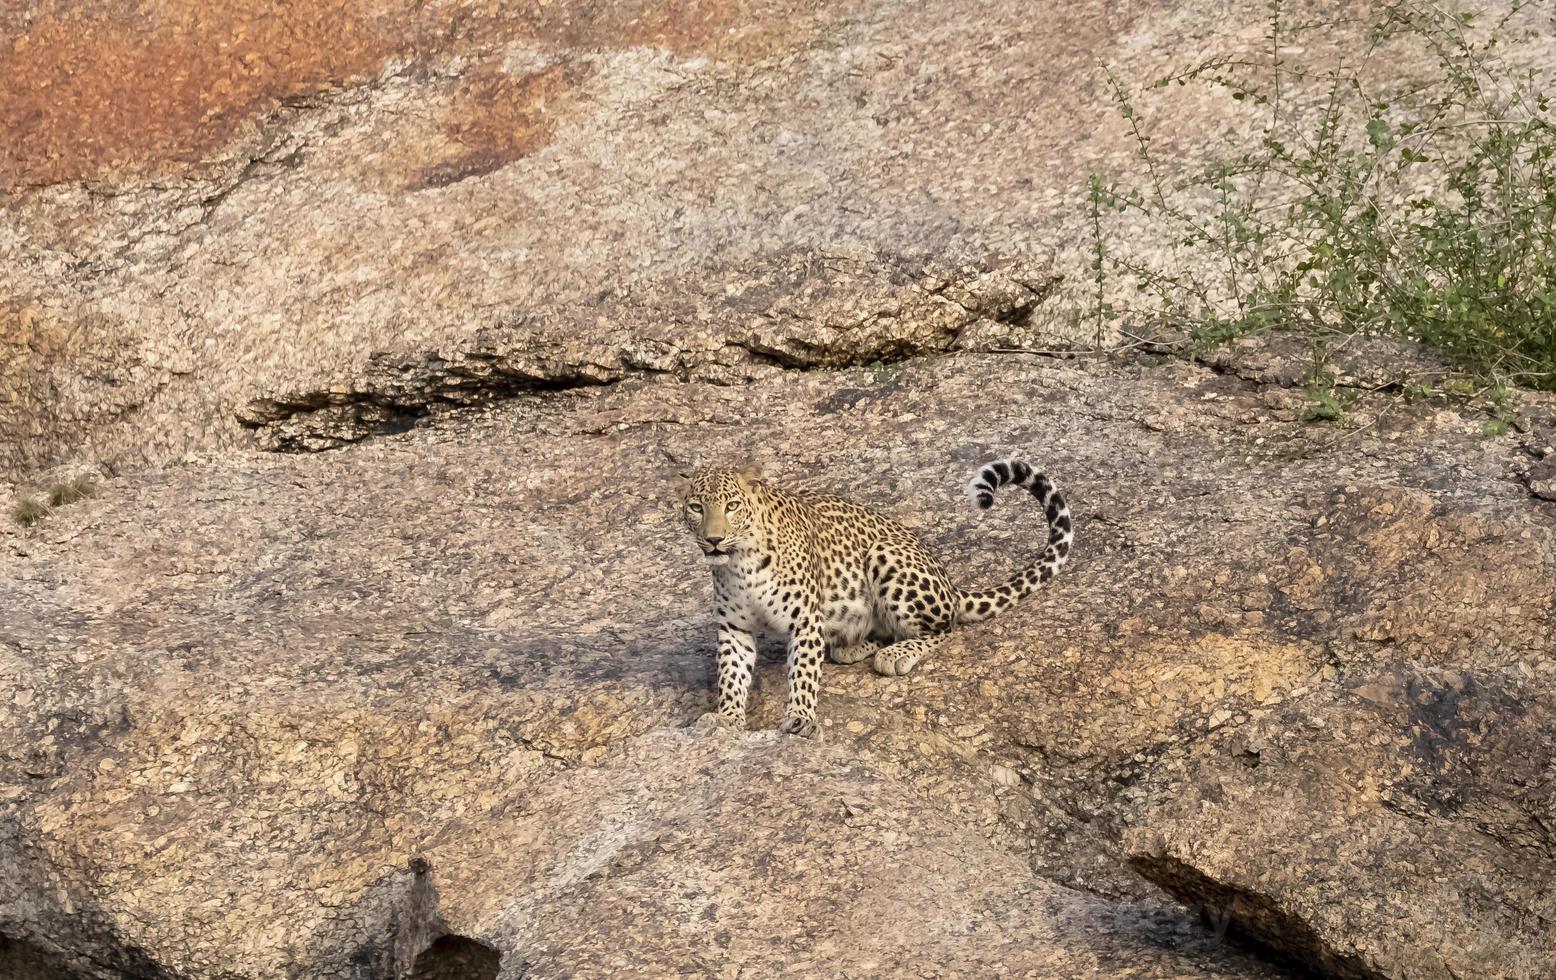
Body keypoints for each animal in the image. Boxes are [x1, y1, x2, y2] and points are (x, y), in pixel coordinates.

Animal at [675, 460, 1076, 737]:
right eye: (696, 507)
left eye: (731, 506)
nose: (713, 540)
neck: (738, 562)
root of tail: (950, 584)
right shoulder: (735, 628)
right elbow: (731, 675)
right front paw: (727, 717)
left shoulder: (805, 619)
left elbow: (803, 673)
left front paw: (801, 718)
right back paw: (856, 647)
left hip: (885, 555)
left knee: (943, 629)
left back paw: (895, 655)